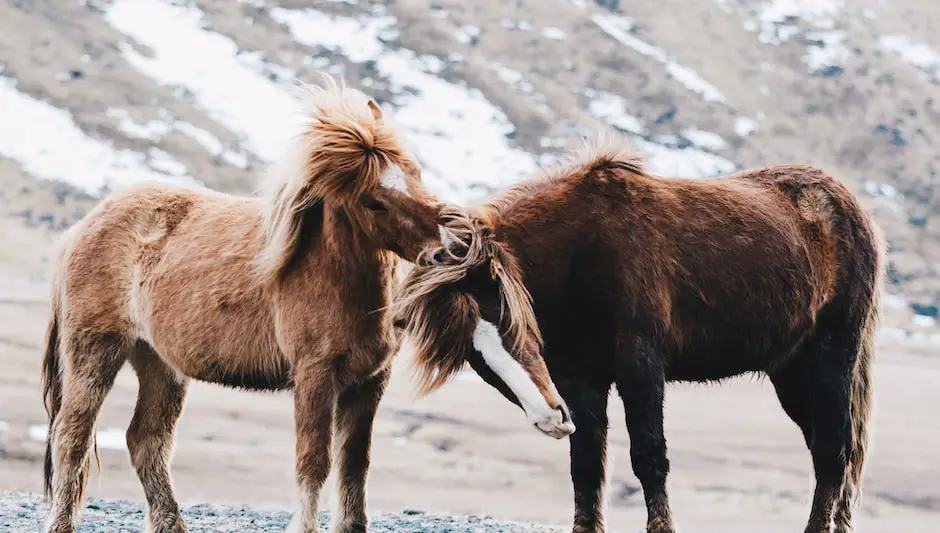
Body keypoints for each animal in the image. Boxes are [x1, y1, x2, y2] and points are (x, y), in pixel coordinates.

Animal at [38, 76, 572, 532]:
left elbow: (355, 464)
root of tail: (81, 227)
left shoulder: (368, 382)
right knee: (72, 437)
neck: (331, 275)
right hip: (96, 350)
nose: (455, 246)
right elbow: (314, 461)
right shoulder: (315, 375)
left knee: (146, 441)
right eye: (374, 200)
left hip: (158, 362)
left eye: (415, 172)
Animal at [392, 133, 884, 532]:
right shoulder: (579, 379)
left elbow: (648, 455)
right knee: (828, 449)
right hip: (791, 372)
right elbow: (587, 465)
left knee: (834, 449)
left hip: (831, 356)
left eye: (505, 317)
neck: (578, 253)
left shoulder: (640, 365)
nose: (550, 418)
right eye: (472, 355)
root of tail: (849, 206)